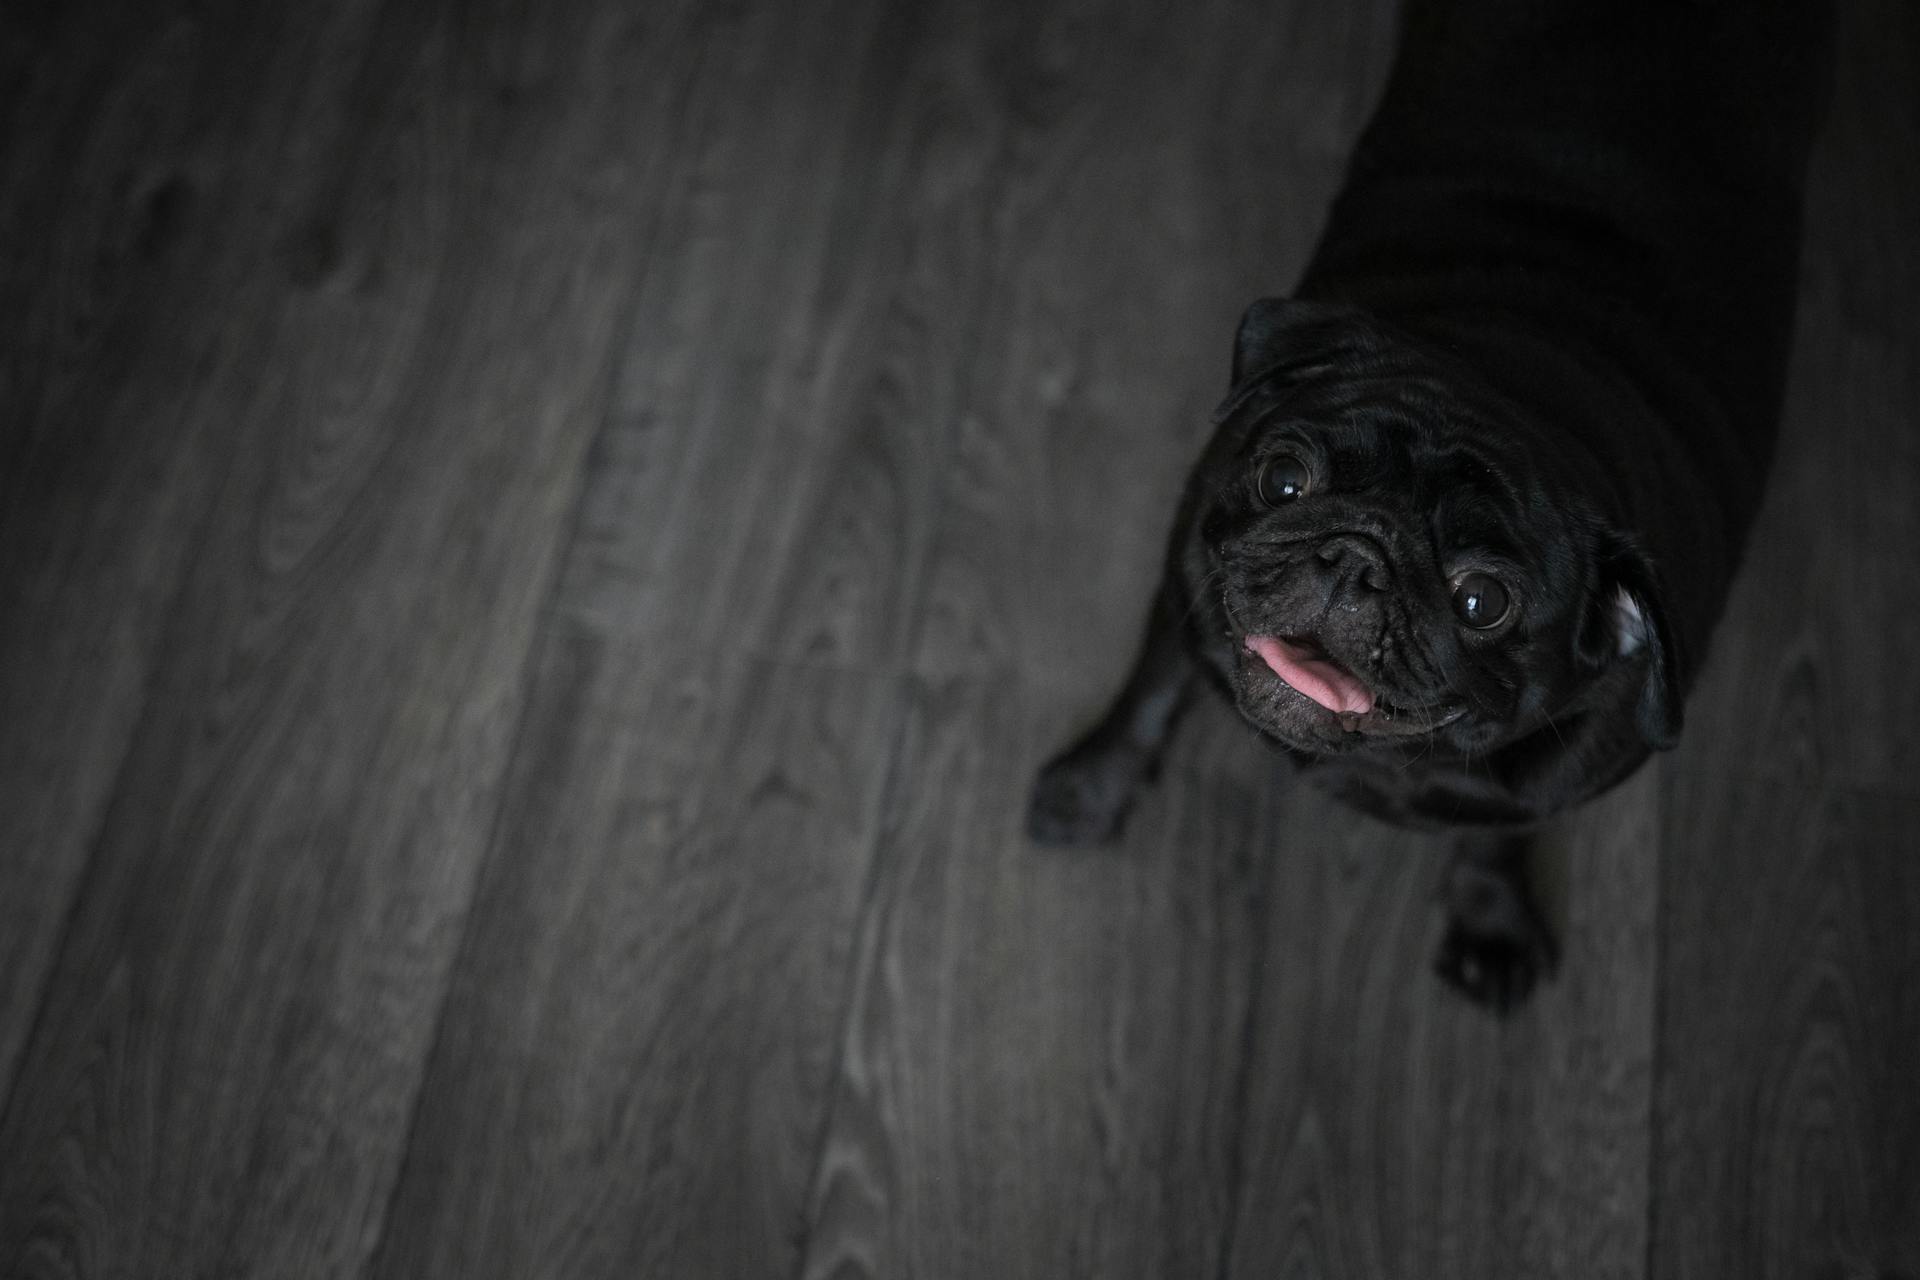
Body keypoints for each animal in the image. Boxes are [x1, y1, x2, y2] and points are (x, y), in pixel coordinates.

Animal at [1029, 0, 1835, 1013]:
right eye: (1284, 480)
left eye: (1482, 600)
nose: (1355, 556)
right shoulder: (1189, 580)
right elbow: (1148, 691)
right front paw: (1088, 789)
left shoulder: (1552, 784)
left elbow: (1498, 834)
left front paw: (1491, 919)